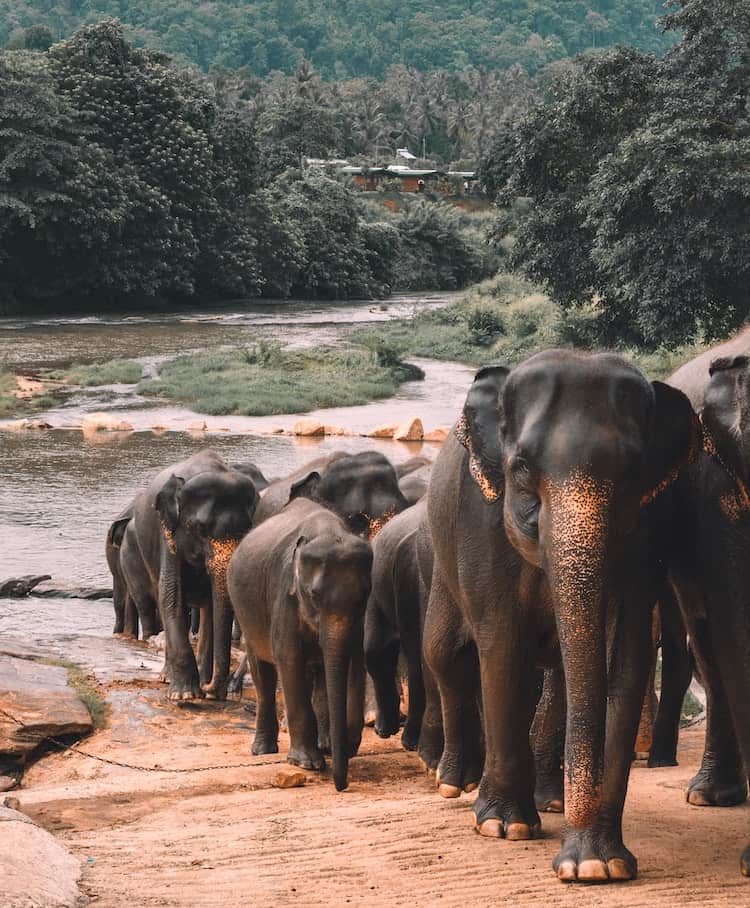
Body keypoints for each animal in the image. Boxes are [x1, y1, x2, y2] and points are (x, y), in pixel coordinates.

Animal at [129, 450, 258, 700]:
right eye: (200, 528)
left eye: (247, 529)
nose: (210, 688)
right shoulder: (166, 534)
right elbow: (171, 596)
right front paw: (186, 696)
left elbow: (213, 604)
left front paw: (205, 692)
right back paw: (168, 678)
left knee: (207, 607)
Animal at [226, 496, 374, 788]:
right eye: (314, 595)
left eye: (364, 595)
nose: (342, 786)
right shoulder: (284, 594)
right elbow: (289, 658)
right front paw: (307, 763)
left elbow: (353, 660)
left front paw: (341, 747)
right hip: (246, 613)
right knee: (264, 673)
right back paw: (263, 750)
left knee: (317, 672)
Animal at [424, 350, 700, 880]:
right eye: (522, 468)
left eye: (632, 472)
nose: (574, 861)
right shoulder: (480, 521)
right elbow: (502, 646)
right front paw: (504, 828)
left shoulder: (650, 529)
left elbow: (627, 659)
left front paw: (597, 865)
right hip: (442, 560)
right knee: (444, 654)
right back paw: (454, 784)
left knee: (558, 675)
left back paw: (550, 800)